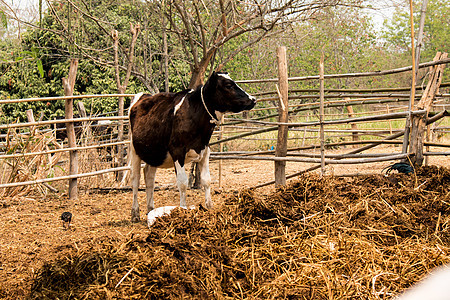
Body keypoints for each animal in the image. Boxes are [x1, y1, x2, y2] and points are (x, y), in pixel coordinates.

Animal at [128, 71, 255, 221]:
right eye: (228, 85)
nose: (253, 99)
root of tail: (143, 96)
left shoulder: (205, 151)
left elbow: (206, 180)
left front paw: (209, 206)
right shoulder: (177, 151)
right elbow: (182, 183)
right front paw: (183, 209)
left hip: (155, 153)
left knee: (149, 178)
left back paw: (150, 209)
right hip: (134, 151)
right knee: (135, 180)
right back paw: (135, 213)